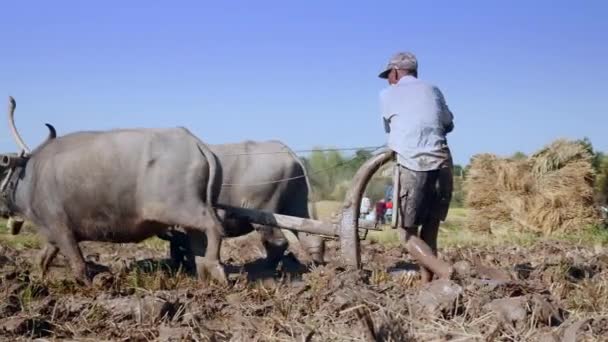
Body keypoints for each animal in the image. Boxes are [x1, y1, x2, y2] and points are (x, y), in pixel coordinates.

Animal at [0, 97, 226, 286]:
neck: (30, 177)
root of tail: (196, 144)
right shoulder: (51, 234)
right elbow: (42, 259)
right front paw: (38, 279)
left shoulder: (61, 228)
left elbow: (78, 263)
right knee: (199, 240)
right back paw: (203, 274)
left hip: (181, 208)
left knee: (213, 227)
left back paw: (215, 268)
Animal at [159, 140, 326, 272]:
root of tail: (287, 152)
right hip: (297, 203)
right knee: (310, 236)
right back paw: (318, 268)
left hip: (262, 209)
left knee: (278, 242)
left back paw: (262, 269)